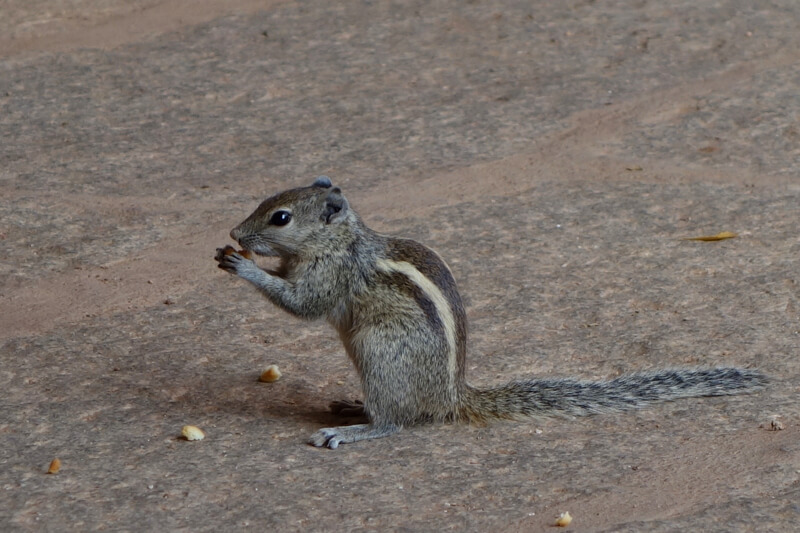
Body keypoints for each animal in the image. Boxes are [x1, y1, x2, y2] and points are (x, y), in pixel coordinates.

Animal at [215, 176, 766, 449]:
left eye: (281, 217)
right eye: (267, 202)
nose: (236, 234)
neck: (340, 239)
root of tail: (452, 398)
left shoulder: (332, 275)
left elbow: (302, 305)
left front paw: (243, 267)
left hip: (381, 355)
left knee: (397, 422)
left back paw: (353, 430)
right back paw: (353, 406)